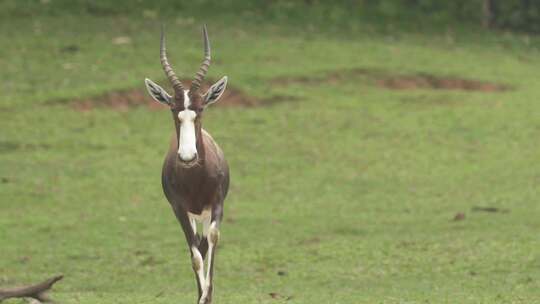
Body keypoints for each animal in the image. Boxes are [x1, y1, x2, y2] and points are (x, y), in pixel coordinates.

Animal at [144, 25, 229, 304]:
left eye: (200, 108)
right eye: (173, 109)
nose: (188, 156)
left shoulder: (217, 205)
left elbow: (213, 239)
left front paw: (207, 295)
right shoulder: (179, 209)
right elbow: (195, 257)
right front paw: (200, 296)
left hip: (204, 213)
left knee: (205, 242)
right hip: (192, 215)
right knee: (197, 247)